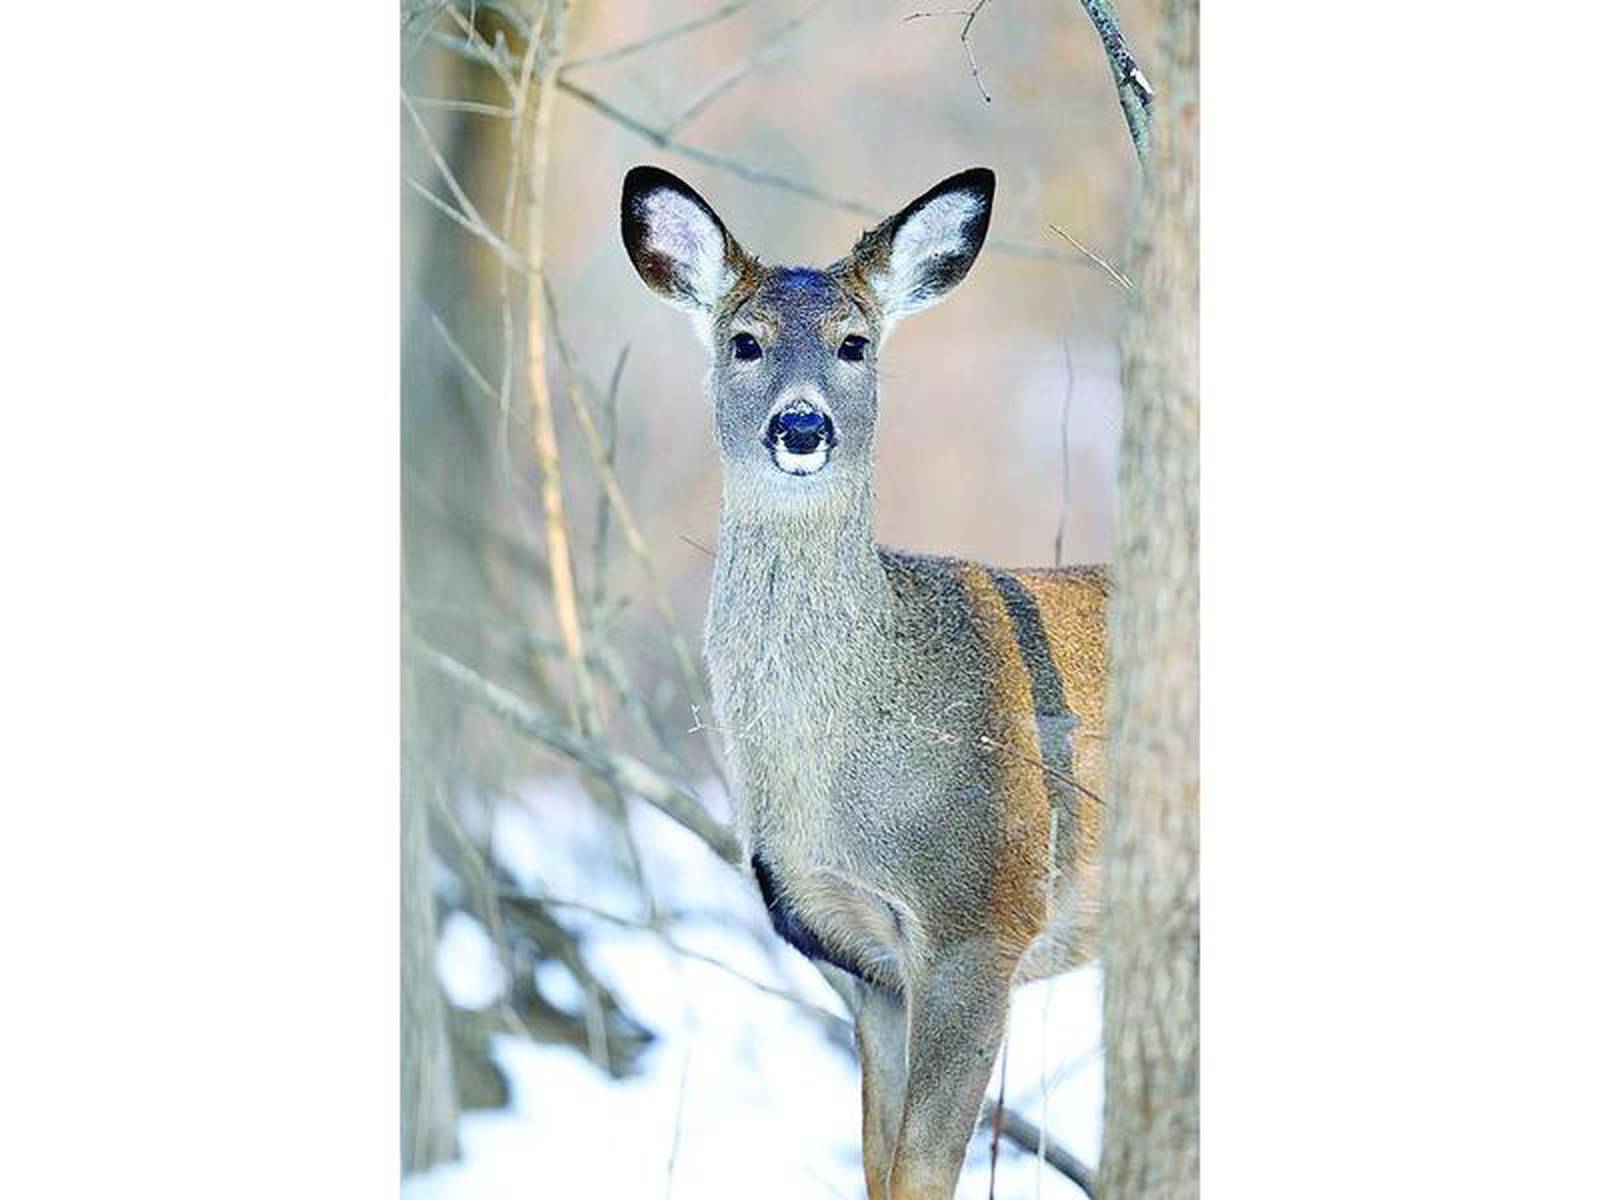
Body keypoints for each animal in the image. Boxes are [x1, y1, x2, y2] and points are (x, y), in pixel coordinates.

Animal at [620, 164, 1108, 1200]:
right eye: (745, 342)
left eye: (855, 343)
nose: (802, 425)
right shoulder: (863, 960)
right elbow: (879, 1164)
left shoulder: (986, 914)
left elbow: (923, 1168)